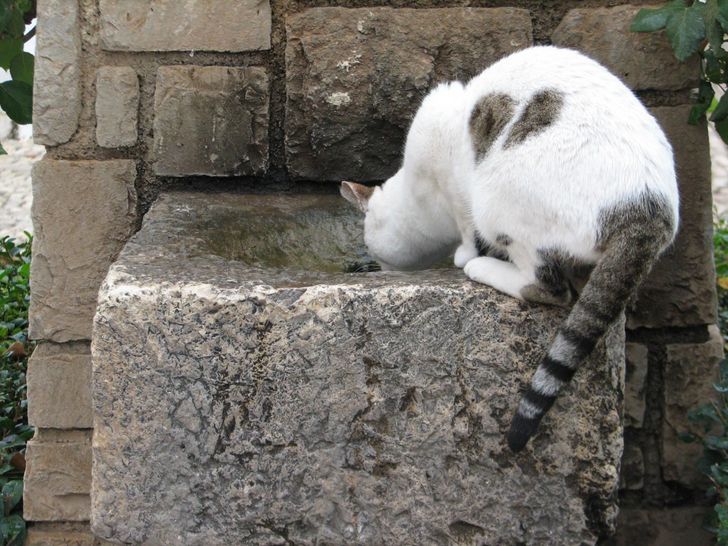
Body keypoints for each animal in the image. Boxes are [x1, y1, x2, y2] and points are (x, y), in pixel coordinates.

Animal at [340, 44, 676, 450]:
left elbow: (465, 227)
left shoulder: (455, 187)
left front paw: (465, 255)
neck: (419, 195)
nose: (378, 266)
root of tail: (648, 209)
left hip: (498, 199)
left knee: (550, 287)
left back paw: (484, 268)